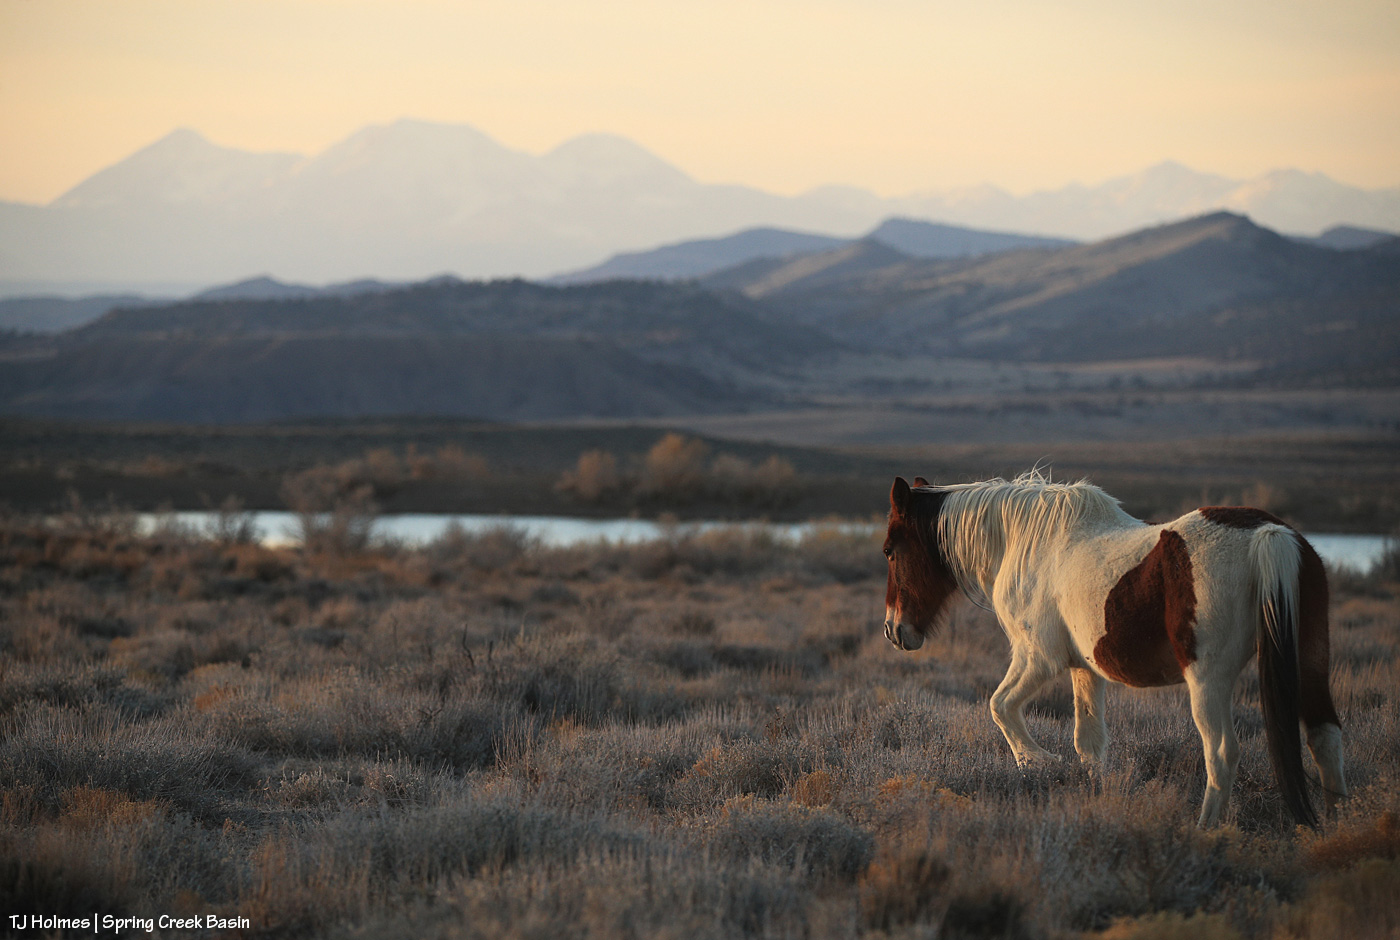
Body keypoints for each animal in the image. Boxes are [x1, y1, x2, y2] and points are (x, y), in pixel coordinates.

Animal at [882, 472, 1347, 828]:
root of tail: (1270, 534)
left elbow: (1000, 707)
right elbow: (1088, 744)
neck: (1026, 541)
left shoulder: (1037, 658)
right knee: (1324, 738)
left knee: (1220, 753)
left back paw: (1205, 831)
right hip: (1310, 664)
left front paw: (1038, 763)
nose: (893, 630)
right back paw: (1337, 829)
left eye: (889, 551)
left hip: (1207, 679)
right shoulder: (1083, 670)